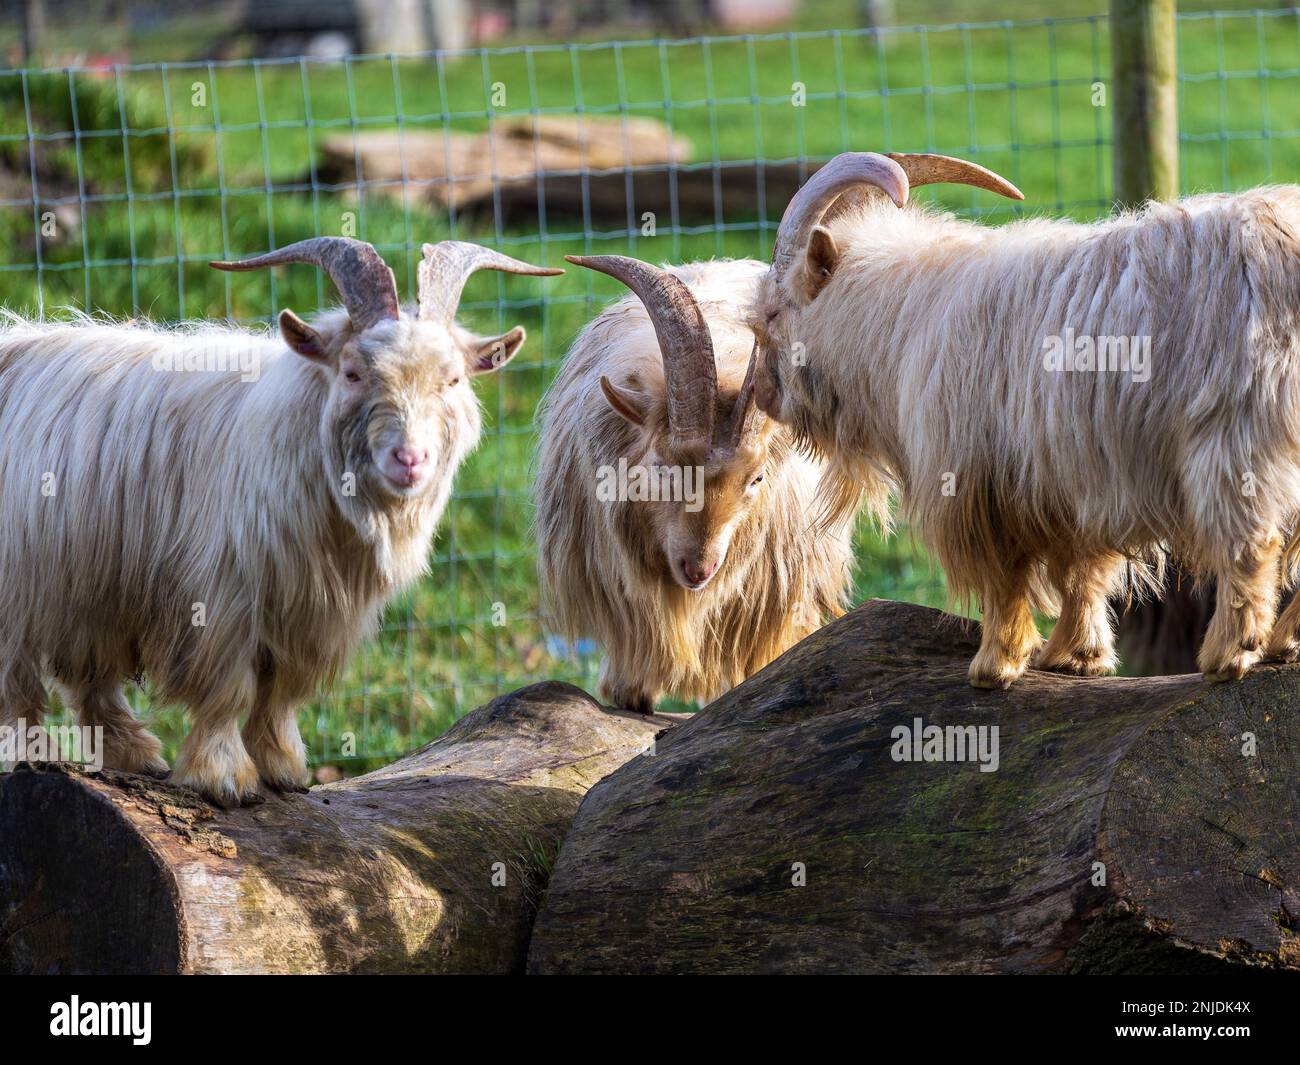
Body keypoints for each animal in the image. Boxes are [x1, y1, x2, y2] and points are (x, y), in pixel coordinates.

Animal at [0, 237, 562, 803]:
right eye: (353, 373)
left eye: (452, 379)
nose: (410, 459)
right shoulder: (221, 595)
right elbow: (228, 688)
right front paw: (225, 777)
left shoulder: (310, 609)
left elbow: (282, 692)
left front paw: (283, 768)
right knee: (18, 683)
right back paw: (31, 754)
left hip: (83, 585)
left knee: (88, 676)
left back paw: (135, 753)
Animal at [752, 149, 1300, 688]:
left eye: (773, 314)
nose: (759, 394)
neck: (906, 317)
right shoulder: (1070, 482)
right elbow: (1079, 572)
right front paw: (1075, 656)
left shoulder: (976, 483)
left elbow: (1004, 578)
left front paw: (996, 664)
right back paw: (1282, 645)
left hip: (1232, 437)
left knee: (1251, 544)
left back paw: (1229, 654)